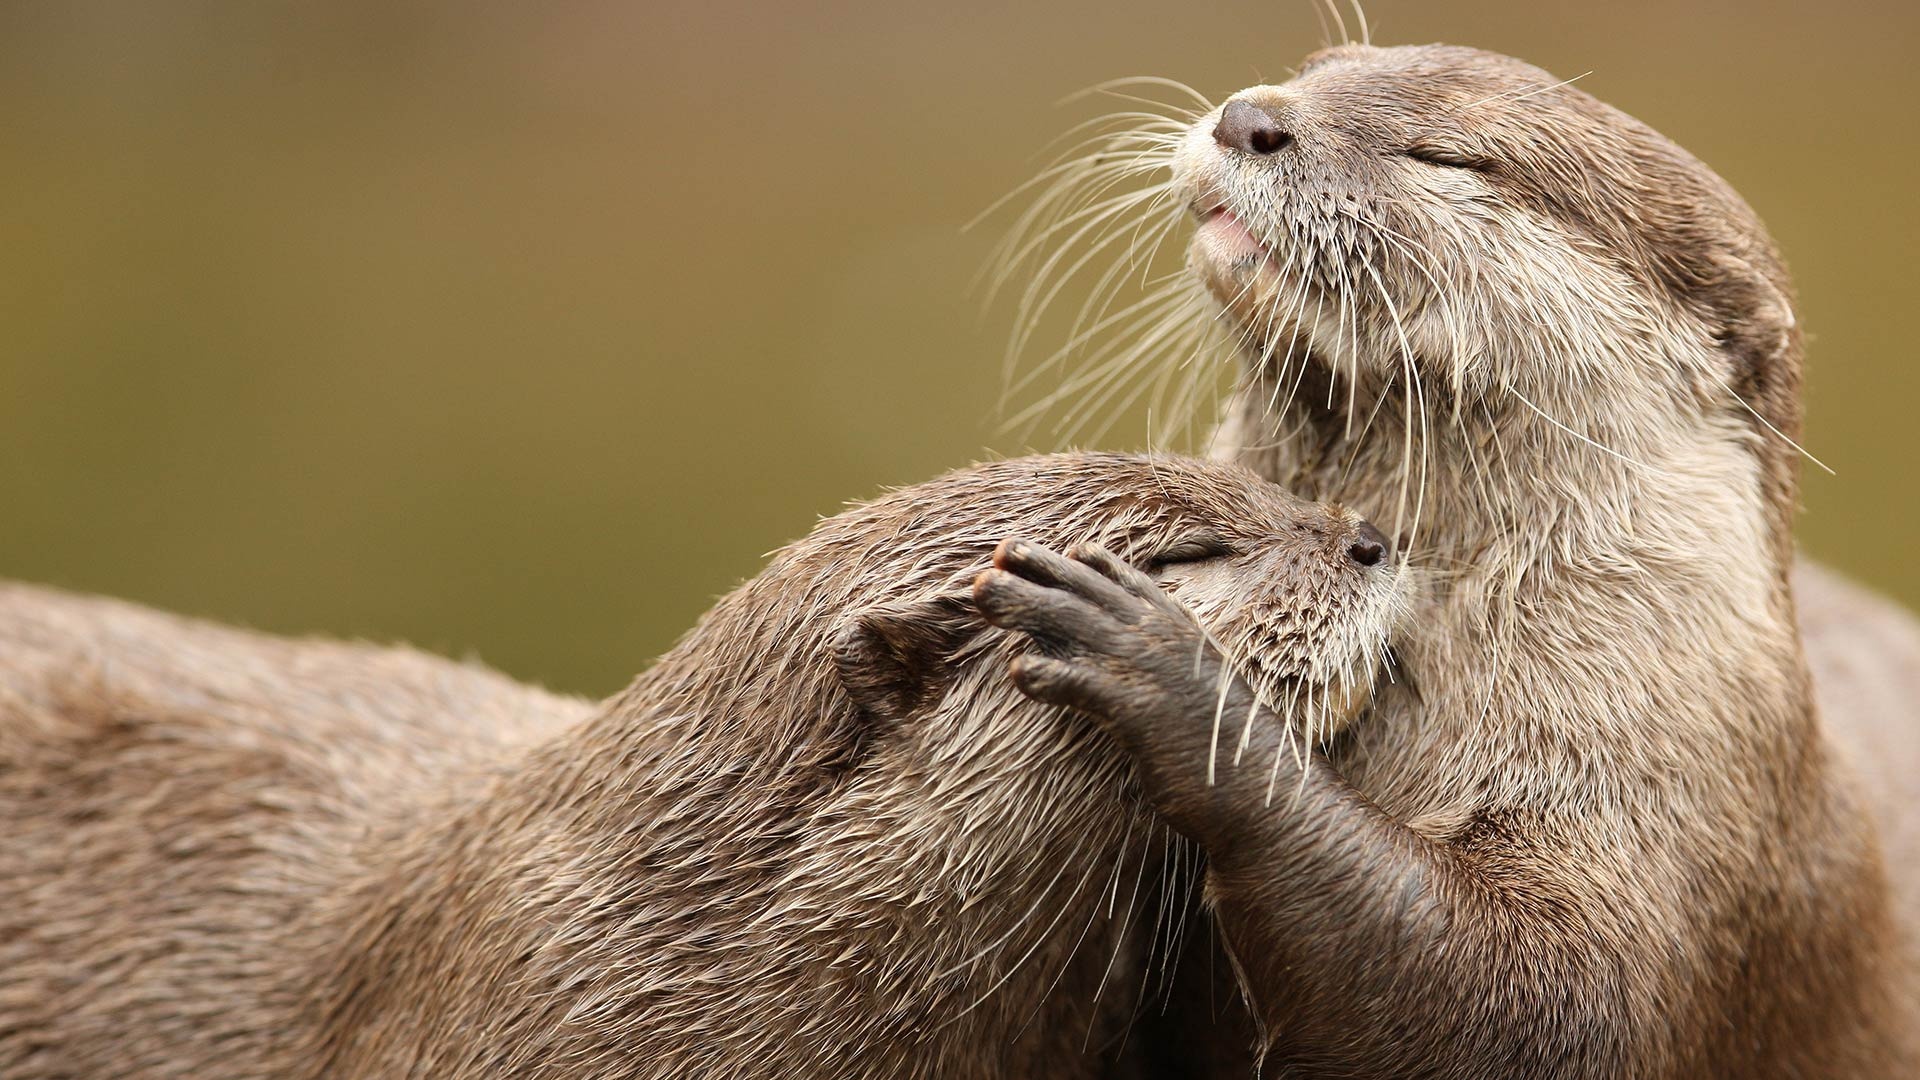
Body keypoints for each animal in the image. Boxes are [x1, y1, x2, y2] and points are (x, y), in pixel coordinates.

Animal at [1006, 37, 1920, 1068]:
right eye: (1317, 69)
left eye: (1450, 156)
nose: (1250, 117)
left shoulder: (1672, 816)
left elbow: (1533, 1000)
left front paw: (1175, 673)